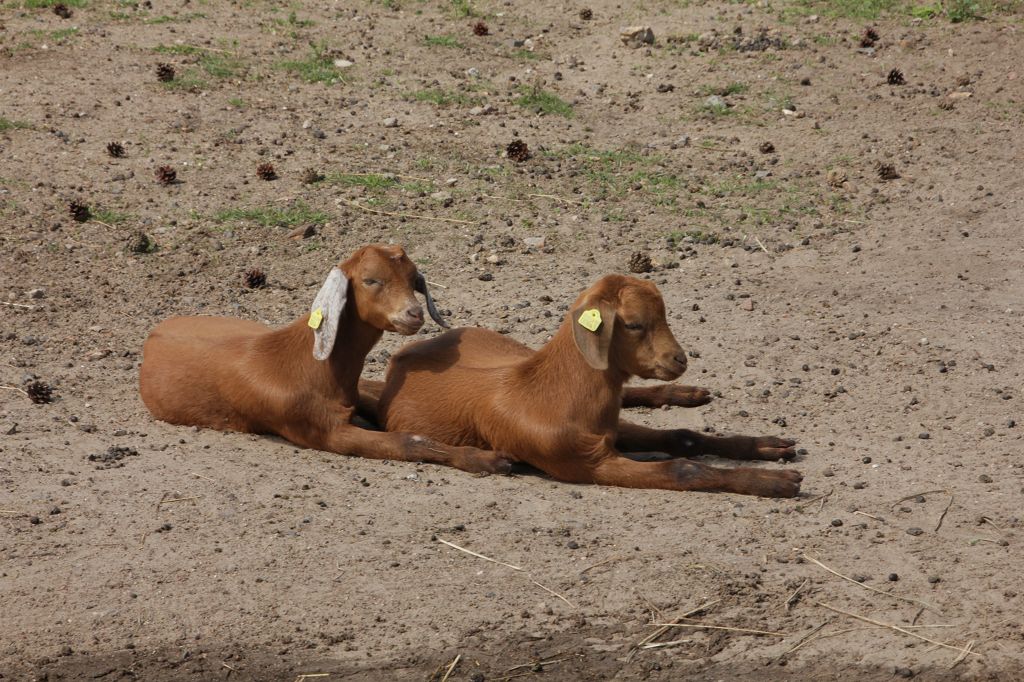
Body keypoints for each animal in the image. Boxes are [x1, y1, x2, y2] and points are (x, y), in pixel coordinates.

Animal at [138, 242, 512, 473]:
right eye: (370, 280)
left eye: (413, 279)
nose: (414, 314)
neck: (307, 365)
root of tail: (157, 331)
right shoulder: (323, 432)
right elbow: (407, 441)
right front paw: (491, 461)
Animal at [360, 274, 806, 497]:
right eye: (634, 324)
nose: (679, 360)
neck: (548, 393)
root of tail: (403, 357)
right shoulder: (586, 462)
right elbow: (682, 466)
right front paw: (775, 482)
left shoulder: (605, 429)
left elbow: (683, 436)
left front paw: (767, 447)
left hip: (509, 347)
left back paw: (686, 394)